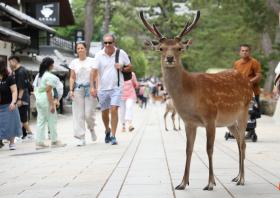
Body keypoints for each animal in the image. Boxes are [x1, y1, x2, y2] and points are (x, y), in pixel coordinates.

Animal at [141, 10, 253, 190]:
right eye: (161, 48)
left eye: (179, 48)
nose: (170, 58)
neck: (189, 93)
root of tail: (248, 83)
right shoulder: (188, 121)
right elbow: (188, 149)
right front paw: (182, 183)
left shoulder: (210, 117)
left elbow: (209, 149)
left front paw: (210, 183)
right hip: (229, 121)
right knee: (238, 140)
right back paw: (236, 176)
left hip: (244, 111)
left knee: (243, 142)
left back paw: (242, 179)